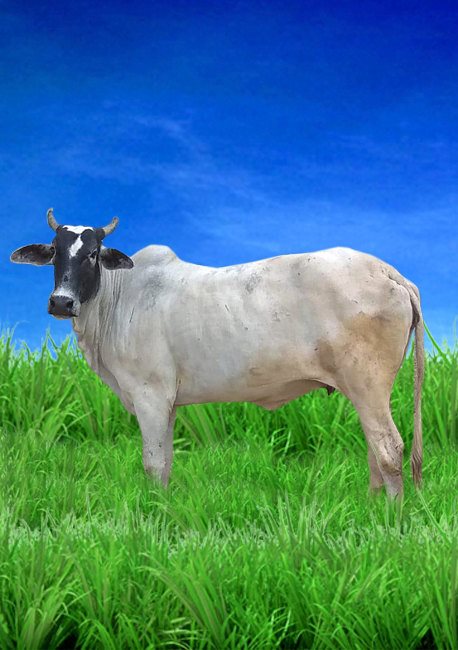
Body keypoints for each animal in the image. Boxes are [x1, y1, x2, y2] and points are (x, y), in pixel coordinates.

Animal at [11, 209, 424, 498]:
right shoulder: (168, 403)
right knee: (375, 453)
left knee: (389, 451)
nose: (61, 302)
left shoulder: (150, 395)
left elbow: (152, 464)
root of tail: (390, 272)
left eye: (94, 254)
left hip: (368, 384)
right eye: (55, 253)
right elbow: (166, 464)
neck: (119, 297)